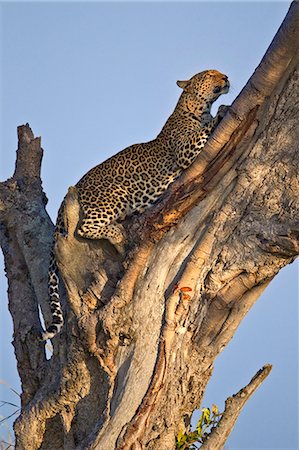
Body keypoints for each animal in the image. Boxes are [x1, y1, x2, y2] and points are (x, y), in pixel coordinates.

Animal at [41, 68, 230, 340]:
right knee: (84, 228)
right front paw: (223, 111)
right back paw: (117, 233)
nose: (226, 78)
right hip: (115, 194)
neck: (199, 108)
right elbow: (204, 131)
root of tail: (75, 187)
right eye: (209, 74)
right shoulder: (186, 152)